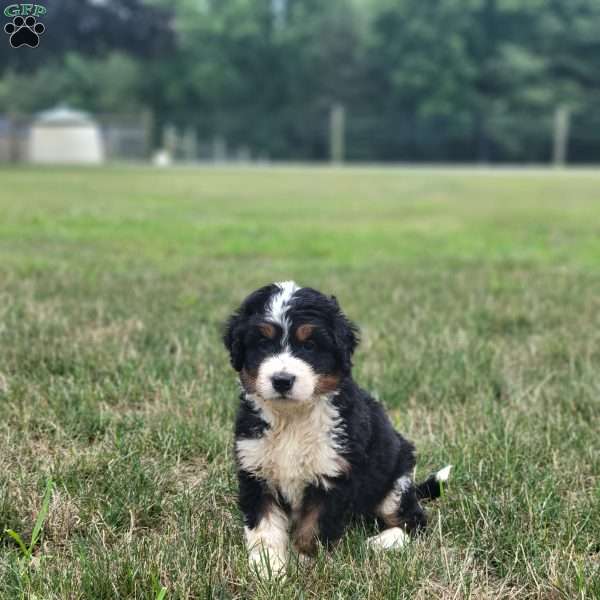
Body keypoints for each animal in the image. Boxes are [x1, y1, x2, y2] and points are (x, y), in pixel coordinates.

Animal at [223, 282, 448, 576]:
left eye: (309, 344)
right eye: (262, 343)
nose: (282, 380)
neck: (292, 419)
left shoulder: (333, 474)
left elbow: (313, 528)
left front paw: (305, 562)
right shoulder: (256, 469)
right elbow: (265, 527)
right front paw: (268, 568)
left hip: (395, 485)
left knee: (415, 522)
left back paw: (381, 542)